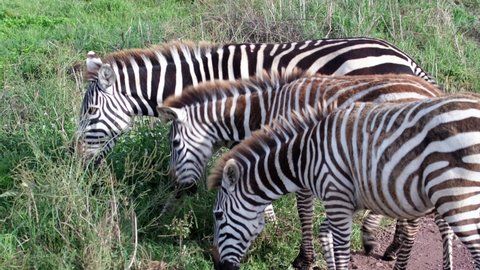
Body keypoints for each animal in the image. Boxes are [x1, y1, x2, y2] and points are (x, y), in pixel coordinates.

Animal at [158, 71, 446, 268]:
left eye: (174, 143)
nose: (177, 189)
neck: (267, 109)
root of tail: (433, 92)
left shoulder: (301, 156)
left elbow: (303, 210)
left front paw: (304, 258)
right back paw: (390, 246)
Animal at [209, 94, 480, 270]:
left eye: (218, 215)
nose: (217, 265)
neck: (305, 156)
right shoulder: (344, 203)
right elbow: (324, 233)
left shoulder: (335, 196)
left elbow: (340, 251)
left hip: (457, 200)